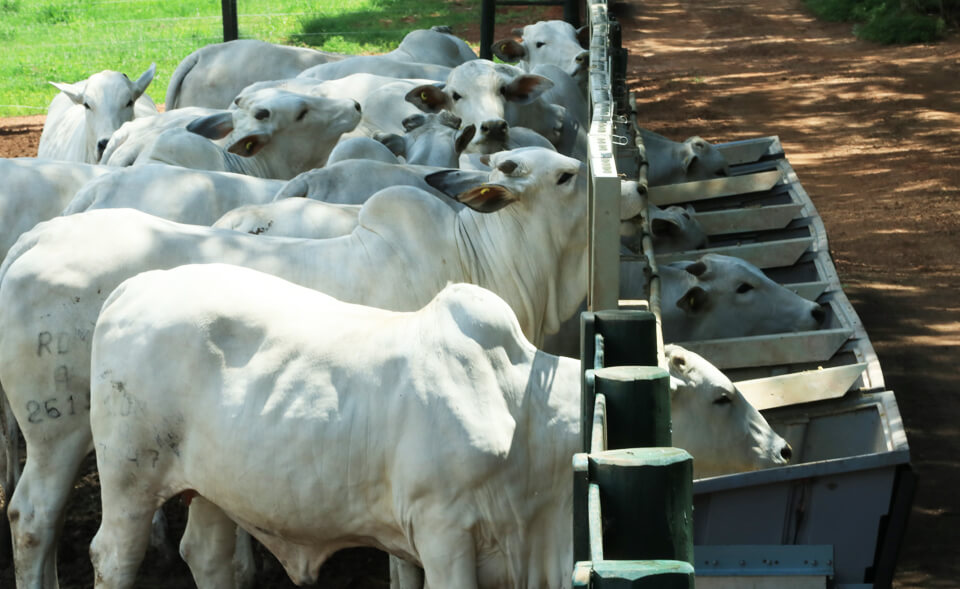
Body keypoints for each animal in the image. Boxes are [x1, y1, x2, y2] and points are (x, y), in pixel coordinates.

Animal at [84, 268, 788, 588]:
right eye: (722, 397)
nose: (781, 449)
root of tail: (129, 290)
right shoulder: (444, 531)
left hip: (213, 487)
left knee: (206, 555)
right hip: (128, 480)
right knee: (112, 556)